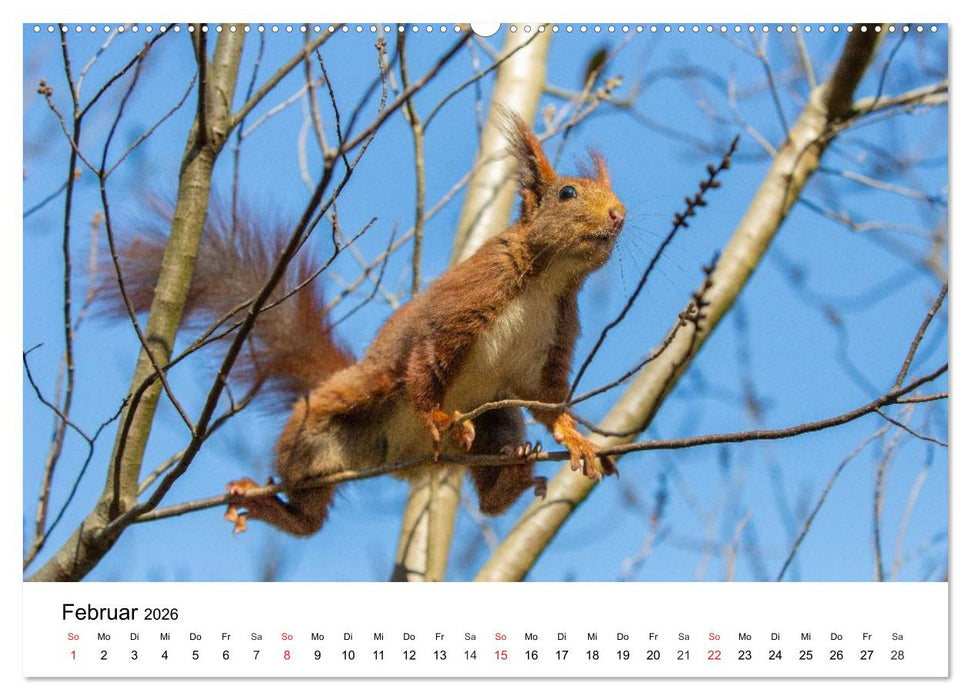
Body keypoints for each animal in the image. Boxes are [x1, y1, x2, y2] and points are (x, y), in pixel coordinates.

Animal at [105, 109, 625, 536]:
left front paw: (576, 438)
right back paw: (266, 501)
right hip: (322, 429)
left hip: (495, 415)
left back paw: (511, 476)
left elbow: (547, 399)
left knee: (487, 492)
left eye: (615, 196)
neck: (548, 279)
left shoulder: (553, 340)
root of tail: (399, 461)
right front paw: (436, 414)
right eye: (568, 192)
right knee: (308, 506)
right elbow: (427, 355)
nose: (619, 215)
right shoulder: (468, 298)